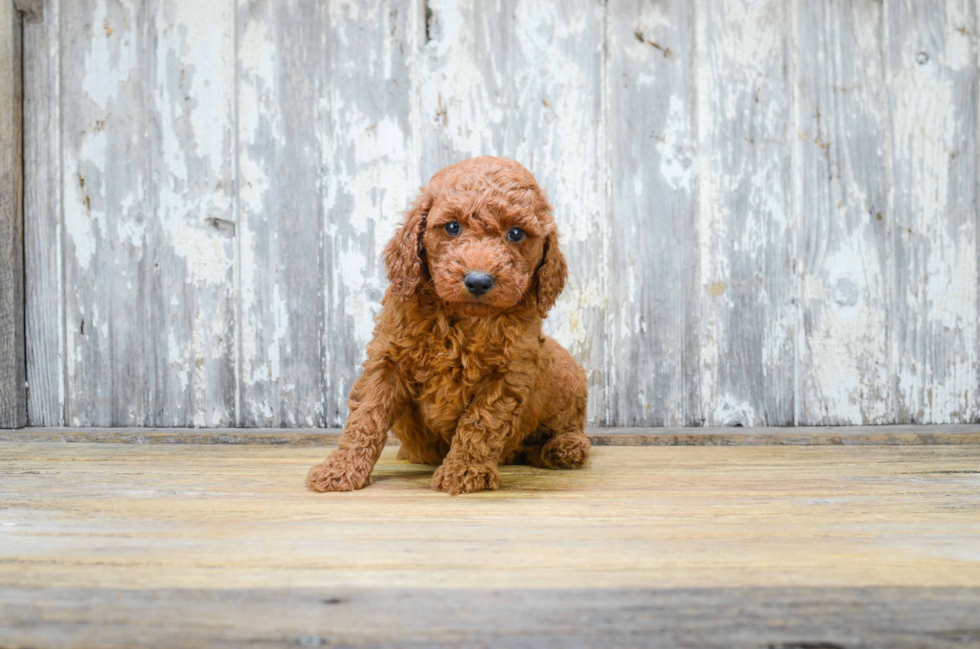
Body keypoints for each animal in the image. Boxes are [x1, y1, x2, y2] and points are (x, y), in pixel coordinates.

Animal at [304, 154, 588, 494]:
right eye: (452, 227)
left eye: (516, 233)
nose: (478, 281)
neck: (463, 319)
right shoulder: (387, 359)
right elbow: (366, 416)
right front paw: (340, 468)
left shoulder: (508, 373)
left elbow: (481, 421)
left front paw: (464, 470)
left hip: (569, 378)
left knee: (569, 427)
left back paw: (564, 447)